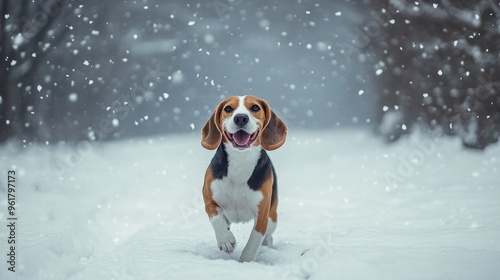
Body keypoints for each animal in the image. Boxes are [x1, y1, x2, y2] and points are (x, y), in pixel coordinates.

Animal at [199, 95, 286, 262]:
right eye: (228, 108)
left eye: (255, 107)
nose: (240, 118)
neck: (240, 160)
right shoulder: (209, 199)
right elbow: (216, 218)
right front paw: (225, 239)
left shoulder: (262, 215)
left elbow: (253, 242)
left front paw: (245, 262)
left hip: (272, 219)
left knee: (268, 237)